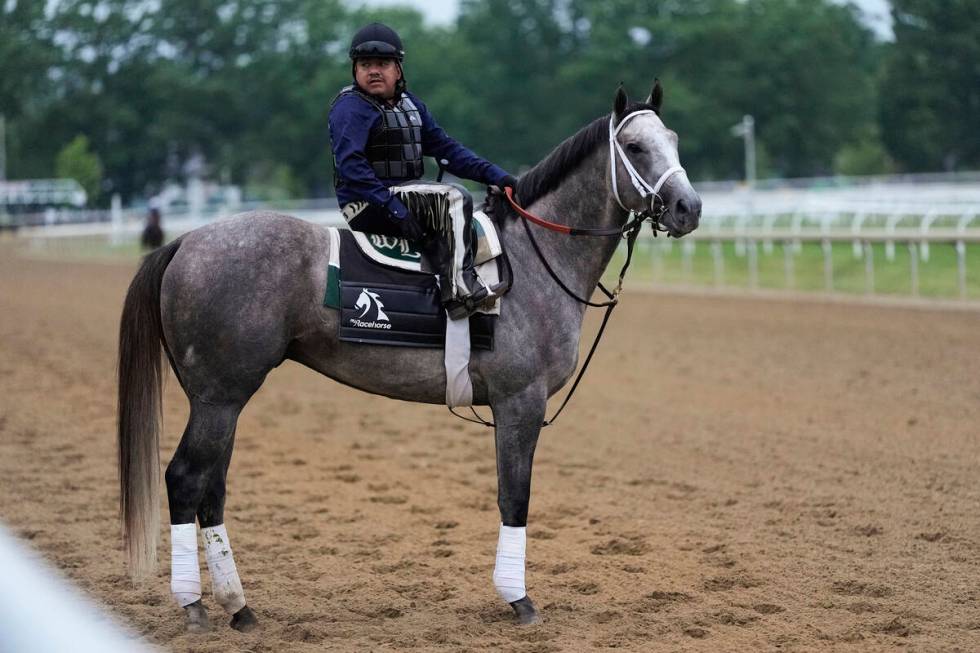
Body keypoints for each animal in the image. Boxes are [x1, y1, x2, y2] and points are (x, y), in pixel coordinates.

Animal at [118, 81, 700, 632]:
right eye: (634, 146)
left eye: (673, 140)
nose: (688, 208)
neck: (533, 260)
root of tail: (186, 243)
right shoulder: (520, 403)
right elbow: (515, 496)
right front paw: (519, 599)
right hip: (220, 398)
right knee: (185, 479)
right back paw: (194, 604)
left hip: (223, 400)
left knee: (211, 490)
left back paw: (239, 608)